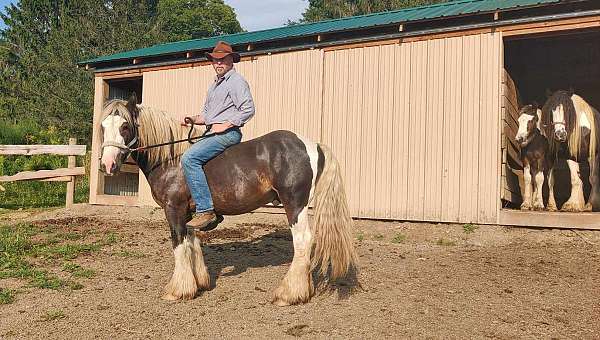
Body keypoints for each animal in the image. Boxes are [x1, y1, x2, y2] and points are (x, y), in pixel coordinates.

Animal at [98, 93, 356, 306]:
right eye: (103, 126)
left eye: (125, 126)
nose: (107, 164)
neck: (171, 159)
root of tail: (311, 144)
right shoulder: (190, 213)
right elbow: (192, 241)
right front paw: (199, 283)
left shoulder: (174, 209)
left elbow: (179, 244)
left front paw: (178, 290)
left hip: (294, 204)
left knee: (303, 241)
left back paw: (289, 294)